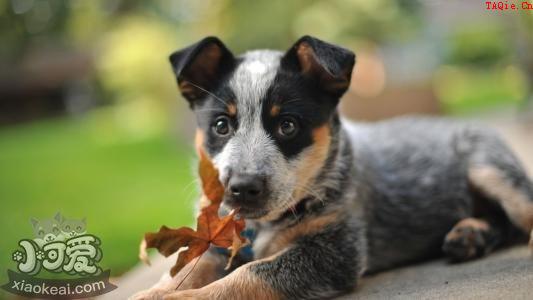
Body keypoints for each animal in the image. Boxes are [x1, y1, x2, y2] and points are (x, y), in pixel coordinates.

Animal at [132, 35, 532, 300]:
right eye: (220, 126)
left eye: (288, 125)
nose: (242, 188)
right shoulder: (215, 243)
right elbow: (183, 271)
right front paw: (152, 293)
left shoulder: (334, 252)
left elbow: (248, 274)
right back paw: (470, 235)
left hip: (490, 168)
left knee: (519, 217)